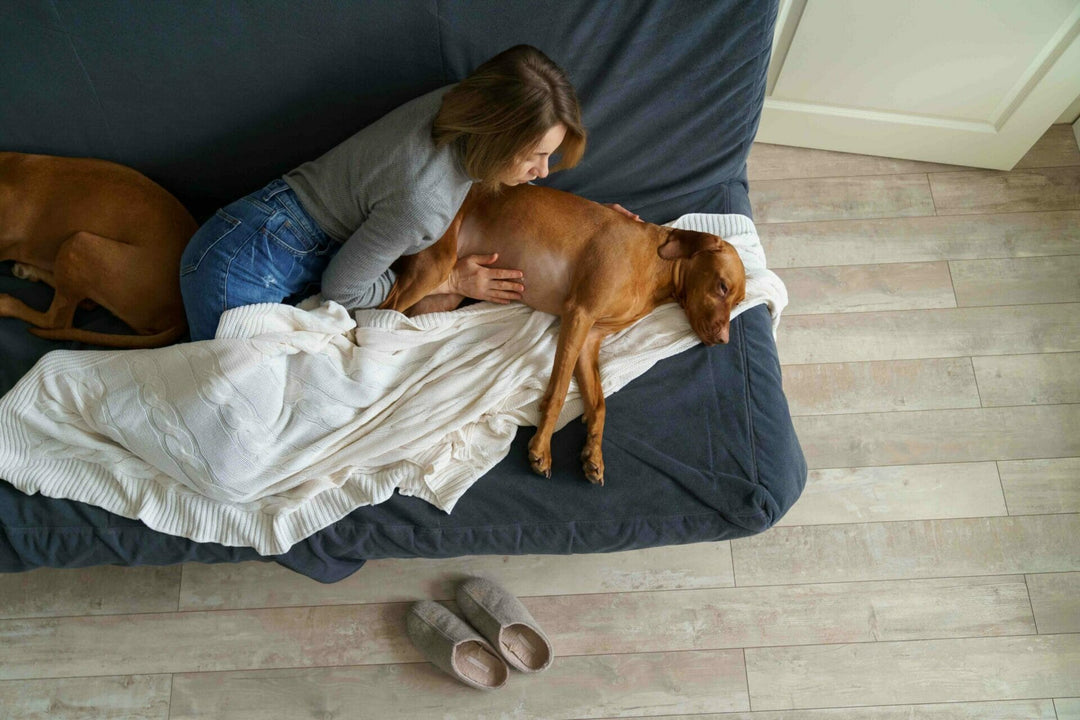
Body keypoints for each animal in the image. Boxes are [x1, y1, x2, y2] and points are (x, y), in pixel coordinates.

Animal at [0, 151, 196, 347]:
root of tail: (181, 316)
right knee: (84, 302)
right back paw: (28, 271)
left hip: (78, 244)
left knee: (57, 321)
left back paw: (6, 303)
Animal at [380, 183, 743, 487]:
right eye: (722, 287)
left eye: (738, 301)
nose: (724, 340)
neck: (655, 269)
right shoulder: (578, 314)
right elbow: (556, 392)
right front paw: (541, 448)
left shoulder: (589, 339)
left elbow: (599, 405)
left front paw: (593, 455)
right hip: (434, 268)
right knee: (379, 312)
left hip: (441, 296)